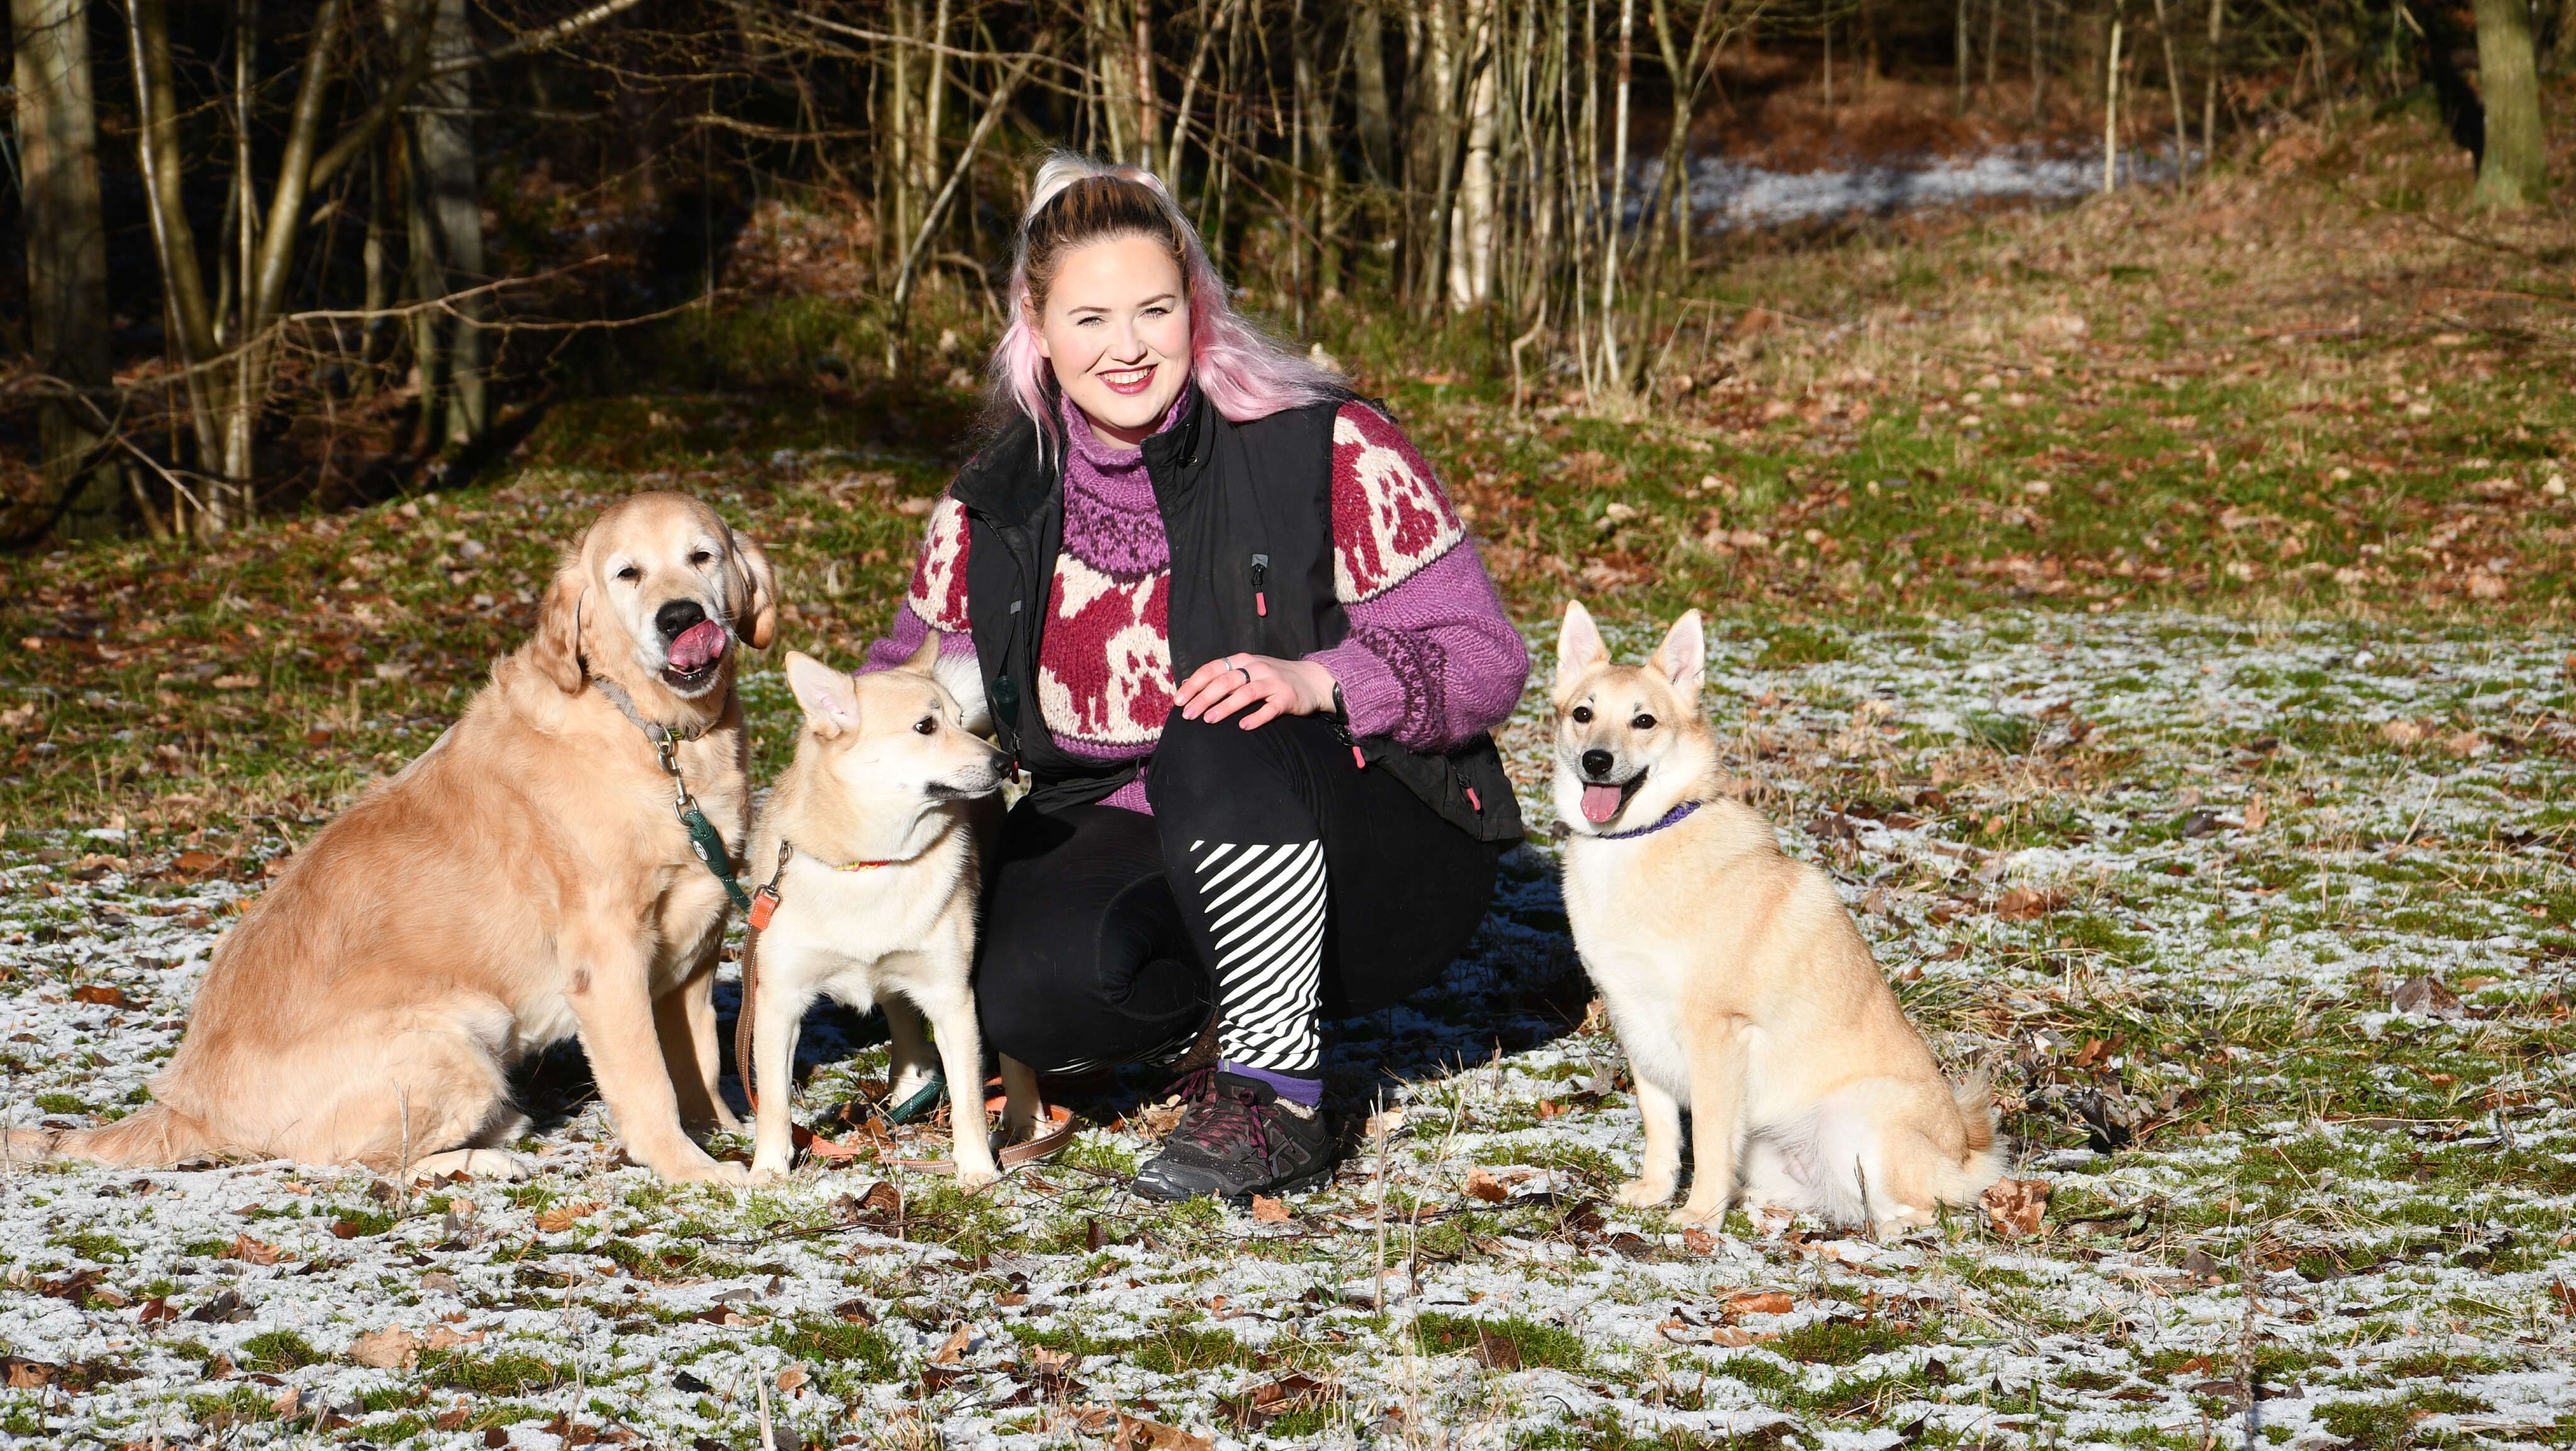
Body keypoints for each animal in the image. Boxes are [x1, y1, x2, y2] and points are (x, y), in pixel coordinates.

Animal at [23, 492, 775, 1183]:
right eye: (627, 573)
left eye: (701, 557)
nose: (681, 618)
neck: (659, 737)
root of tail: (185, 1108)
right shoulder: (608, 956)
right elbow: (650, 1084)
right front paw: (695, 1170)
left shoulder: (695, 944)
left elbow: (700, 1060)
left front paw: (728, 1128)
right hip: (460, 1031)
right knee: (349, 1162)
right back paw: (482, 1158)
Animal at [742, 643, 1039, 1188]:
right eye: (926, 726)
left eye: (960, 721)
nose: (1005, 761)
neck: (872, 862)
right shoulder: (778, 1002)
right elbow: (772, 1101)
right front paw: (769, 1171)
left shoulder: (952, 996)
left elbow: (969, 1097)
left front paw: (977, 1169)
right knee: (900, 1015)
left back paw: (1025, 1116)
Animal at [1552, 601, 2003, 1235]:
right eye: (1583, 714)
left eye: (1644, 721)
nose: (1597, 760)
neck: (1640, 838)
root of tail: (1965, 1150)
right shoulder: (1637, 1026)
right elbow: (1661, 1130)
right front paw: (1656, 1192)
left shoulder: (1715, 1034)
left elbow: (1708, 1138)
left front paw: (1698, 1216)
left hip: (1852, 1120)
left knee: (1924, 1206)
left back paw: (1886, 1227)